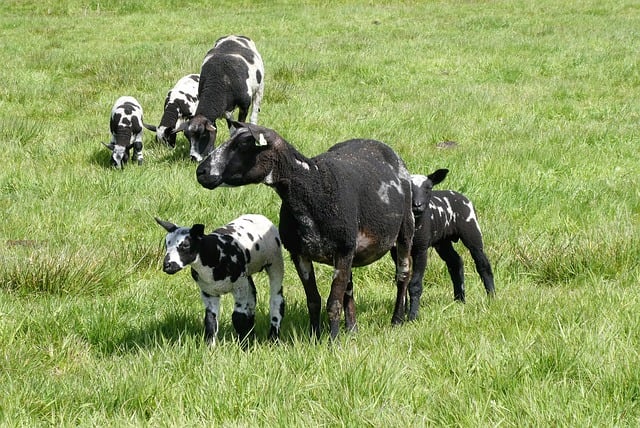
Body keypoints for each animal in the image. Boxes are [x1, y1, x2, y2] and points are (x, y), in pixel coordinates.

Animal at [154, 214, 284, 344]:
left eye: (185, 245)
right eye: (166, 244)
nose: (167, 265)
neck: (214, 255)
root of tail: (258, 216)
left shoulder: (239, 286)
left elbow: (238, 317)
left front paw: (244, 345)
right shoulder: (208, 292)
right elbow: (210, 320)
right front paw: (209, 346)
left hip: (275, 262)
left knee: (276, 300)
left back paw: (273, 338)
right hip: (247, 274)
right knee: (252, 302)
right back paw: (252, 335)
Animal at [195, 121, 416, 342]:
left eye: (242, 145)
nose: (201, 172)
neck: (313, 188)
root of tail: (376, 143)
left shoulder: (342, 250)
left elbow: (333, 302)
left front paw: (332, 341)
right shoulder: (300, 253)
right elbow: (314, 300)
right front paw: (314, 336)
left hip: (405, 229)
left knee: (403, 275)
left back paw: (397, 319)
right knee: (349, 289)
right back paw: (352, 329)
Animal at [396, 169, 496, 320]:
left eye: (429, 188)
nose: (417, 205)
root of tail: (459, 195)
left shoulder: (421, 249)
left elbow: (415, 284)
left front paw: (413, 316)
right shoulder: (397, 251)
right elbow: (403, 279)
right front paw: (404, 311)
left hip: (472, 232)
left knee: (483, 264)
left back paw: (491, 296)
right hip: (443, 242)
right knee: (455, 262)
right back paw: (459, 299)